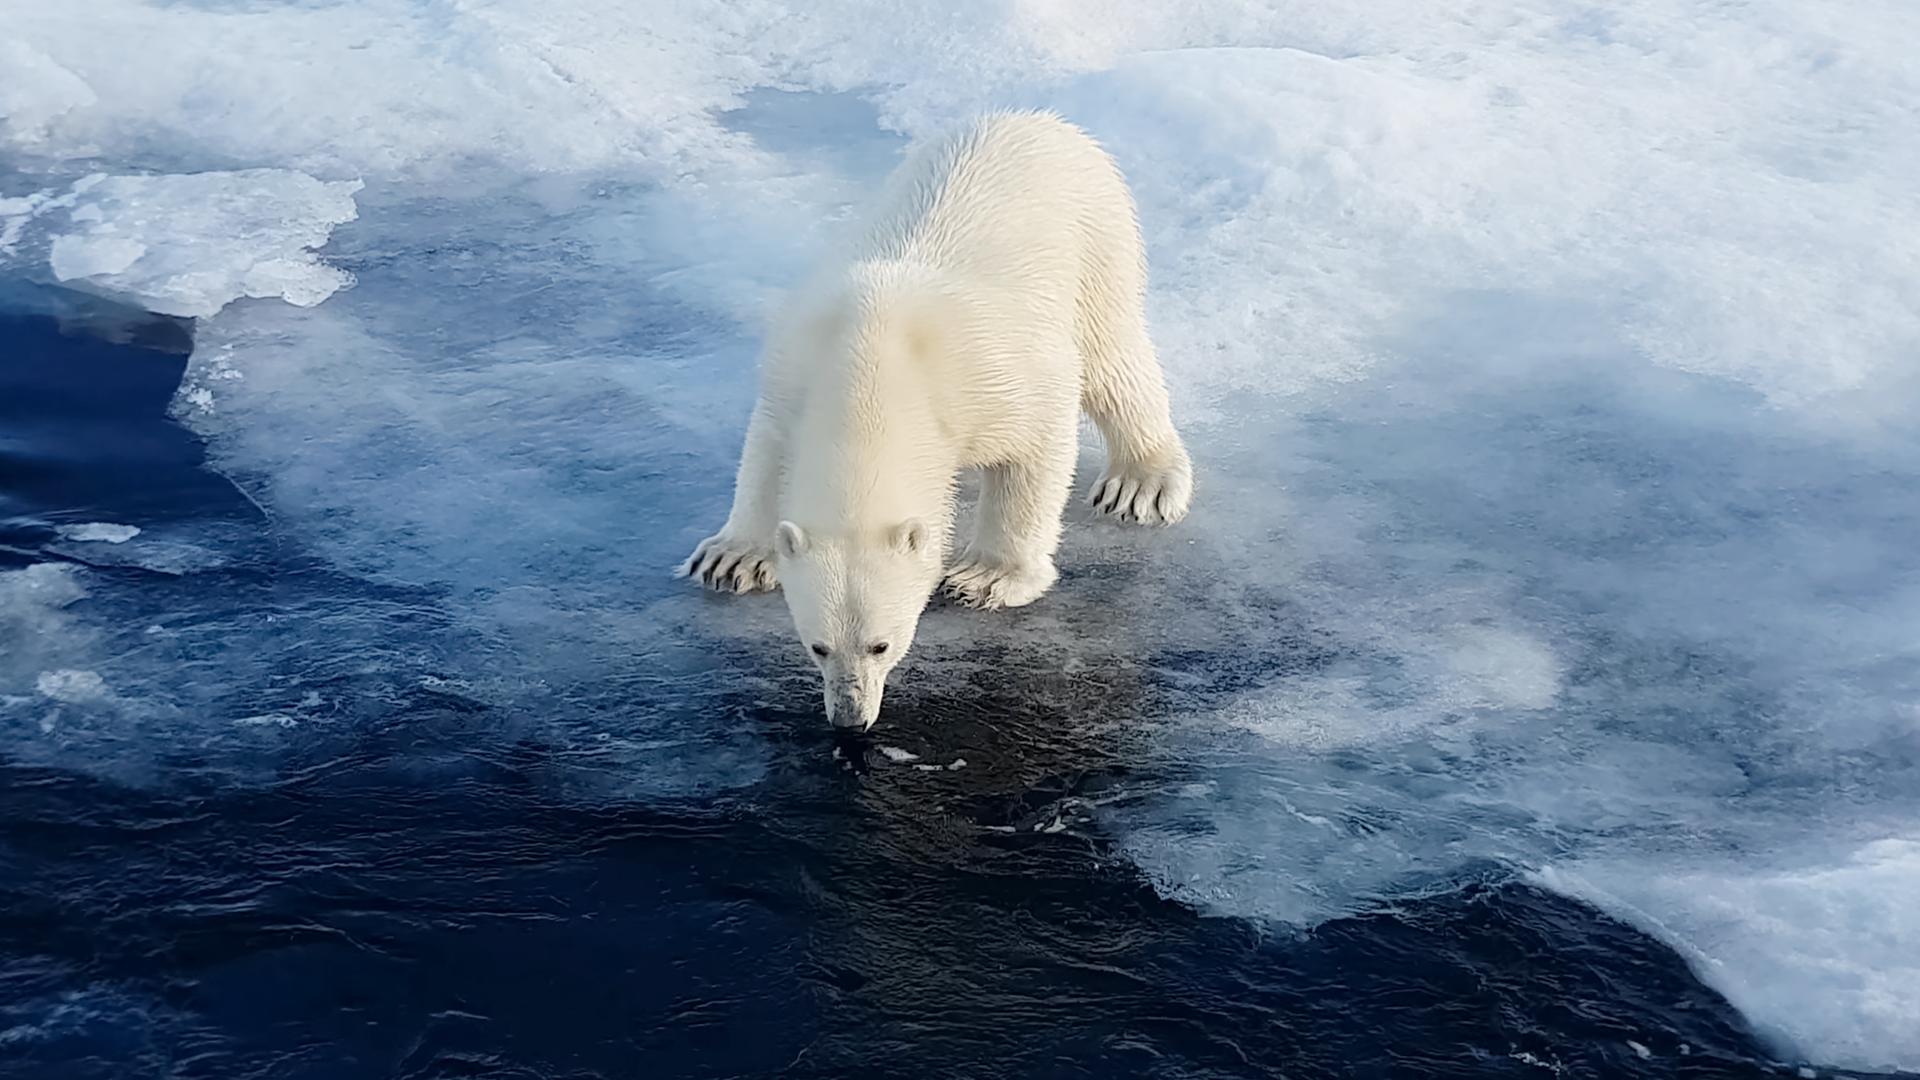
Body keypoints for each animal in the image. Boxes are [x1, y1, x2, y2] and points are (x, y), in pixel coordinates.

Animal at [675, 109, 1182, 726]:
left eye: (881, 644)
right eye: (817, 646)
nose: (851, 717)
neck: (873, 364)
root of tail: (1036, 119)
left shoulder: (994, 379)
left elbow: (1036, 447)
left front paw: (986, 577)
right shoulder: (794, 372)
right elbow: (766, 453)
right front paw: (733, 558)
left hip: (1096, 240)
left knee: (1113, 359)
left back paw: (1142, 482)